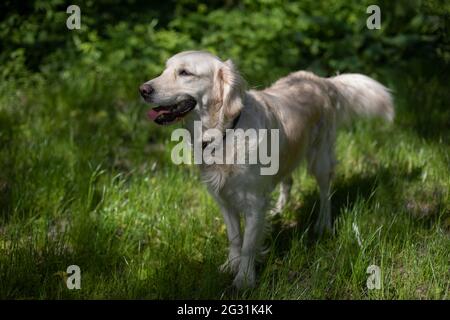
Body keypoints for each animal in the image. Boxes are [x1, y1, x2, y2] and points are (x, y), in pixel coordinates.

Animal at [138, 50, 394, 290]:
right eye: (165, 69)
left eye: (185, 73)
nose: (143, 90)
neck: (225, 132)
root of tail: (320, 80)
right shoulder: (223, 198)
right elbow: (235, 237)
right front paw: (231, 265)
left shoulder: (254, 201)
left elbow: (249, 245)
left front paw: (244, 279)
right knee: (288, 181)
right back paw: (279, 210)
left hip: (319, 159)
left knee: (325, 193)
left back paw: (323, 225)